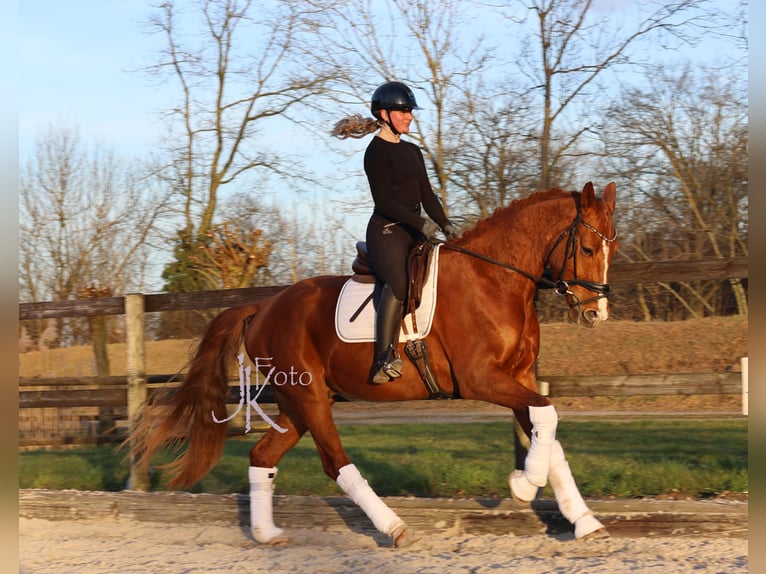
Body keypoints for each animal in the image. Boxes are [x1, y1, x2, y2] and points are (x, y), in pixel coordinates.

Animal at [130, 183, 616, 548]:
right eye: (588, 247)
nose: (597, 314)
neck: (494, 278)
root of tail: (263, 307)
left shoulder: (518, 377)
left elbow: (548, 433)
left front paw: (583, 520)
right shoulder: (483, 379)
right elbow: (546, 418)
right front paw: (522, 484)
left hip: (297, 402)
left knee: (262, 455)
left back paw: (267, 534)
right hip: (309, 397)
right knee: (336, 464)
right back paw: (394, 528)